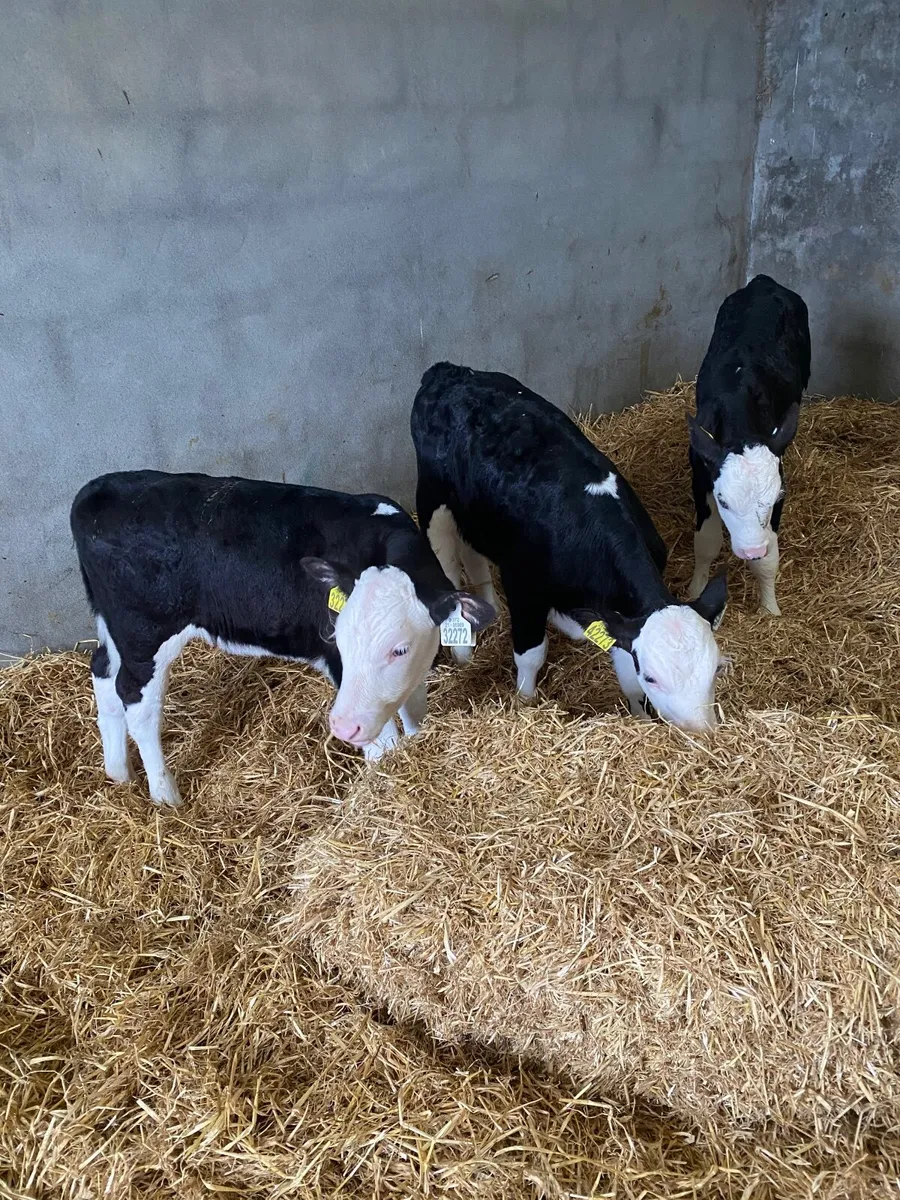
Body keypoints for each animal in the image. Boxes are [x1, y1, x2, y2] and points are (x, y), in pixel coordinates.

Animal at [71, 472, 496, 807]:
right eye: (339, 641)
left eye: (399, 648)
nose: (342, 727)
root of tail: (98, 489)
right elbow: (385, 743)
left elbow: (412, 712)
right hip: (146, 633)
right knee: (137, 701)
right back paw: (165, 796)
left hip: (114, 629)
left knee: (103, 672)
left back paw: (119, 775)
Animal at [411, 363, 729, 733]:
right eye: (652, 676)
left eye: (714, 667)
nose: (702, 732)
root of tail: (447, 371)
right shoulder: (524, 587)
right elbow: (530, 655)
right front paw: (525, 701)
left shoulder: (620, 611)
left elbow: (624, 668)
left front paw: (638, 715)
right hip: (433, 503)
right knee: (447, 565)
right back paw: (463, 654)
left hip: (473, 513)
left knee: (473, 556)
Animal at [687, 274, 811, 616]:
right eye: (724, 501)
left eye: (776, 497)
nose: (751, 549)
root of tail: (763, 281)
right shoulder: (700, 475)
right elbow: (706, 542)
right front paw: (696, 589)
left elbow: (768, 560)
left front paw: (770, 609)